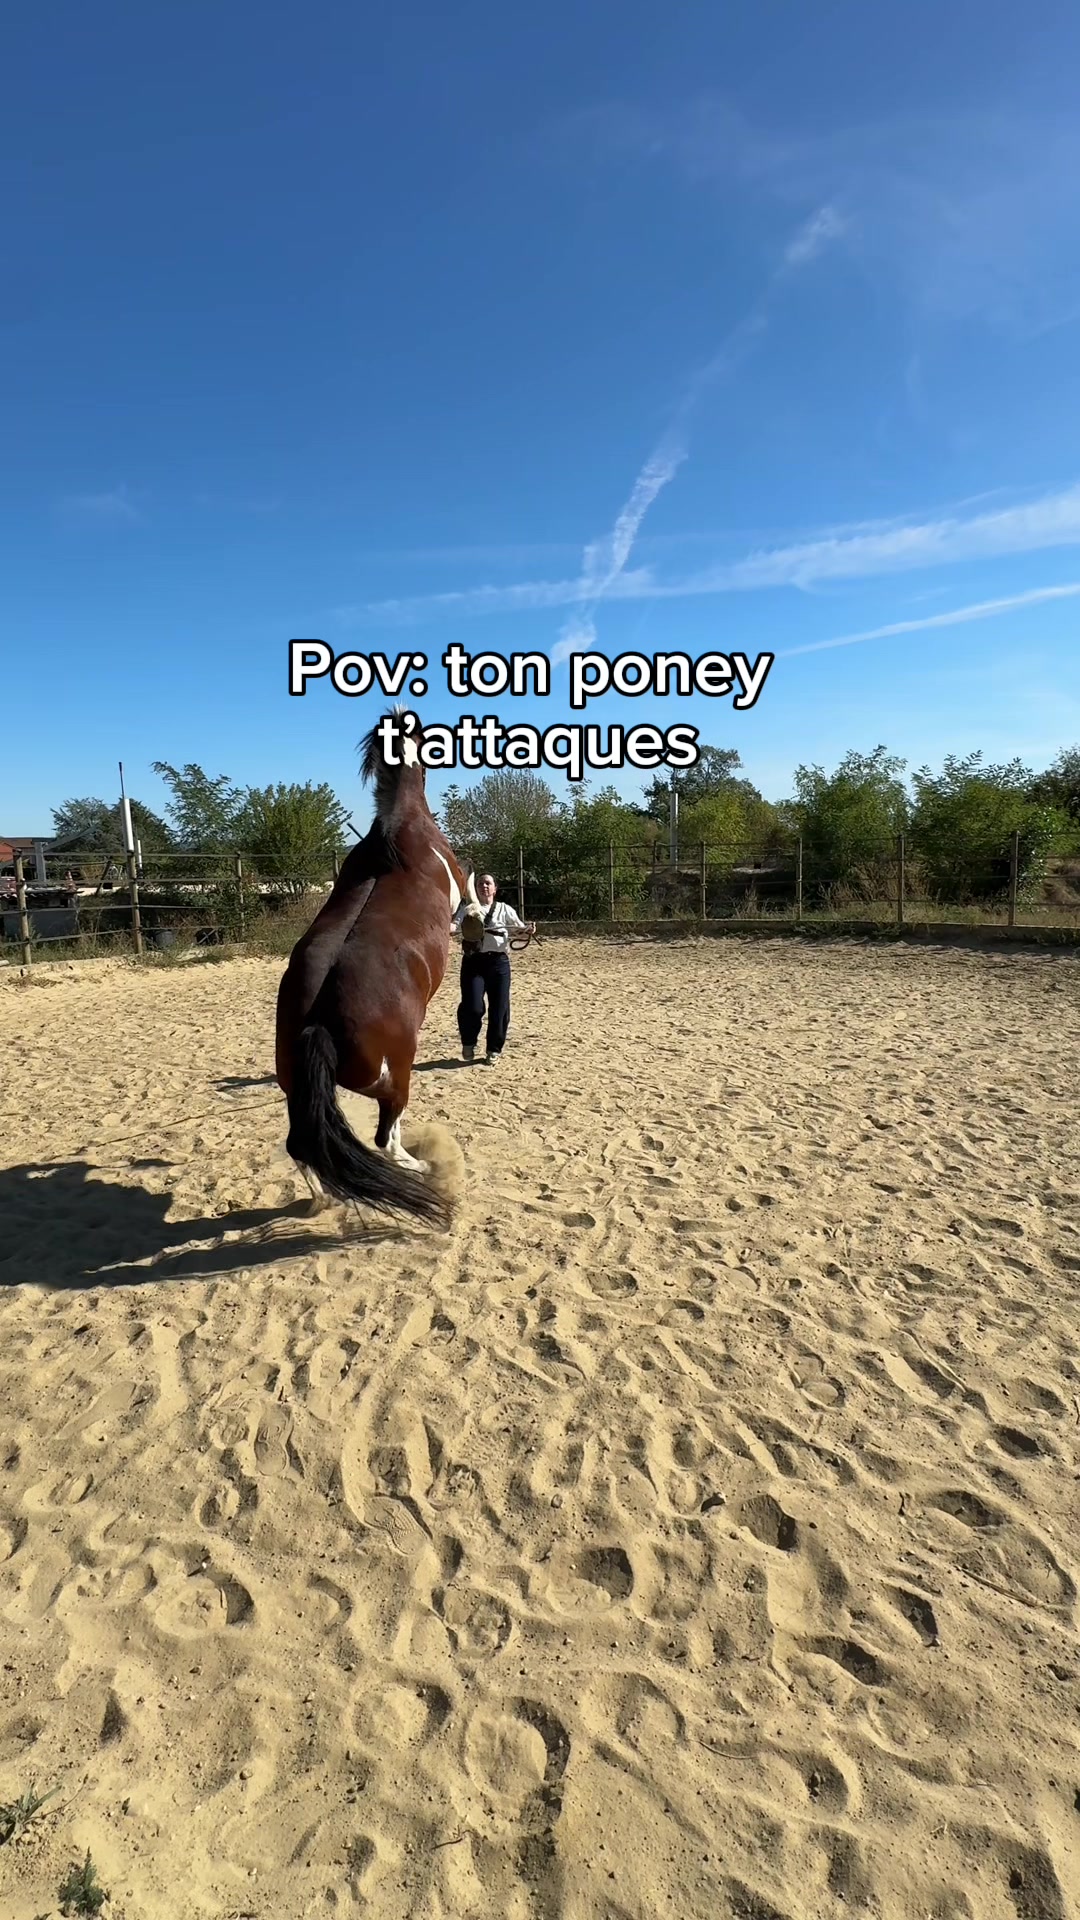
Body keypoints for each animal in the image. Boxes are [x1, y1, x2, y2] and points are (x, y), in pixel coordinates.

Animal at [274, 707, 477, 1228]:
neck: (399, 829)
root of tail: (317, 1021)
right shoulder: (460, 889)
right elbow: (471, 900)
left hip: (294, 1088)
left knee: (301, 1147)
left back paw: (325, 1198)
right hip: (395, 1080)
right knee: (386, 1140)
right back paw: (423, 1169)